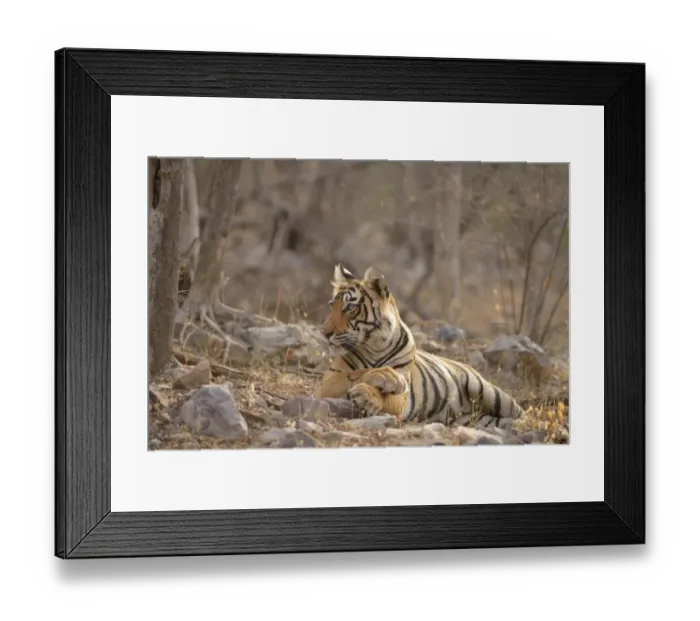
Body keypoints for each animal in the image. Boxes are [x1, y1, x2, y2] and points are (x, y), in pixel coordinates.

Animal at [316, 264, 525, 426]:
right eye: (331, 305)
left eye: (350, 307)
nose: (324, 333)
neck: (375, 346)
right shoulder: (328, 382)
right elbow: (355, 373)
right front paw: (383, 378)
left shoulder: (402, 394)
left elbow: (387, 394)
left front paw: (370, 395)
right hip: (473, 419)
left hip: (488, 391)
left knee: (519, 411)